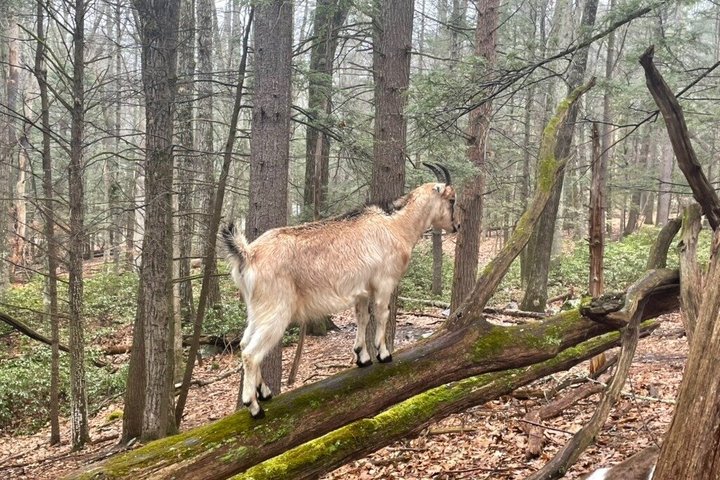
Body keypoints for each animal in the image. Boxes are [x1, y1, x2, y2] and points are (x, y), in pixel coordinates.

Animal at [221, 163, 458, 418]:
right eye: (452, 199)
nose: (456, 226)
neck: (396, 225)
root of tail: (248, 255)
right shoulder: (384, 282)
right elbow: (382, 315)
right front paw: (383, 354)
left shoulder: (362, 291)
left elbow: (363, 318)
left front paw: (362, 357)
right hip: (275, 310)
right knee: (251, 353)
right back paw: (255, 407)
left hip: (256, 310)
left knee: (244, 343)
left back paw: (264, 392)